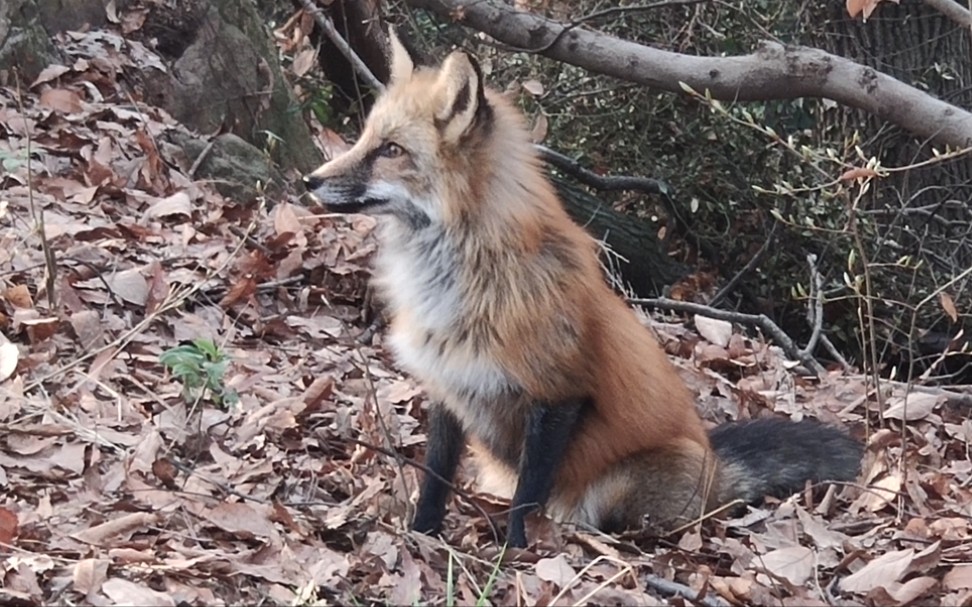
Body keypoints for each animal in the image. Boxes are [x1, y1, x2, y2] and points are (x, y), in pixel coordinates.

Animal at [302, 29, 860, 552]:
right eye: (364, 138)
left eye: (391, 151)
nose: (310, 180)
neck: (460, 282)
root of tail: (716, 466)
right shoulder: (447, 384)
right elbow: (435, 476)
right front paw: (424, 535)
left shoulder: (558, 392)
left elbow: (528, 494)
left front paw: (513, 553)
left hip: (624, 489)